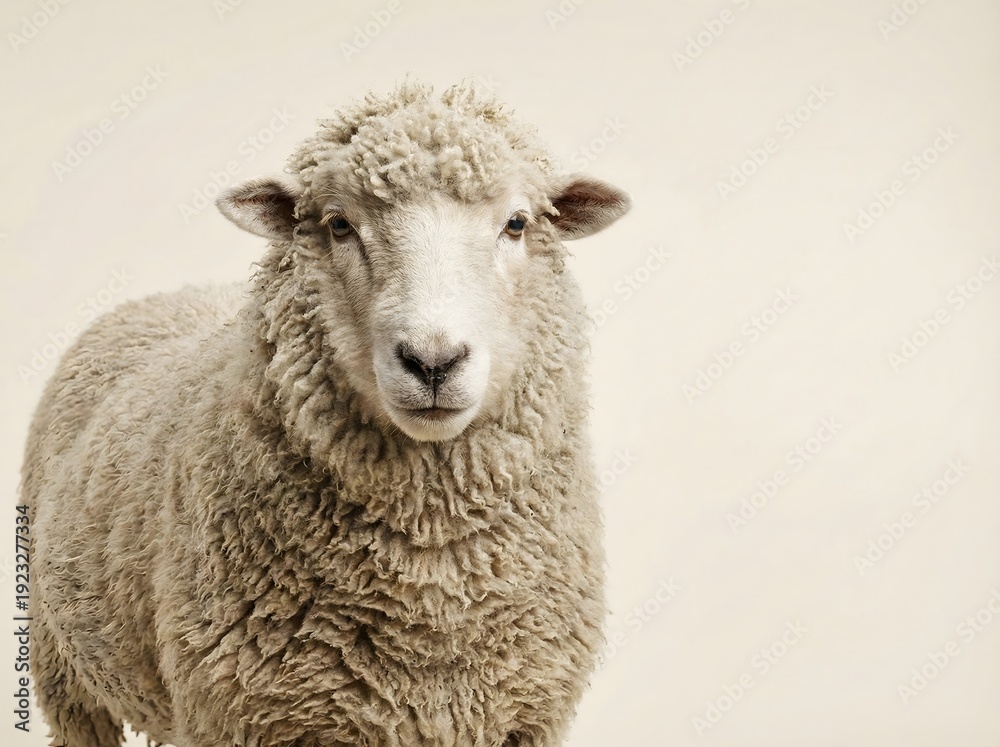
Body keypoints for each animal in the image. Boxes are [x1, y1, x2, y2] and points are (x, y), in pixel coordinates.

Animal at [23, 80, 631, 747]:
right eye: (339, 224)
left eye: (516, 223)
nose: (433, 361)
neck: (429, 576)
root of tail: (162, 296)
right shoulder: (238, 716)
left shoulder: (525, 716)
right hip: (62, 666)